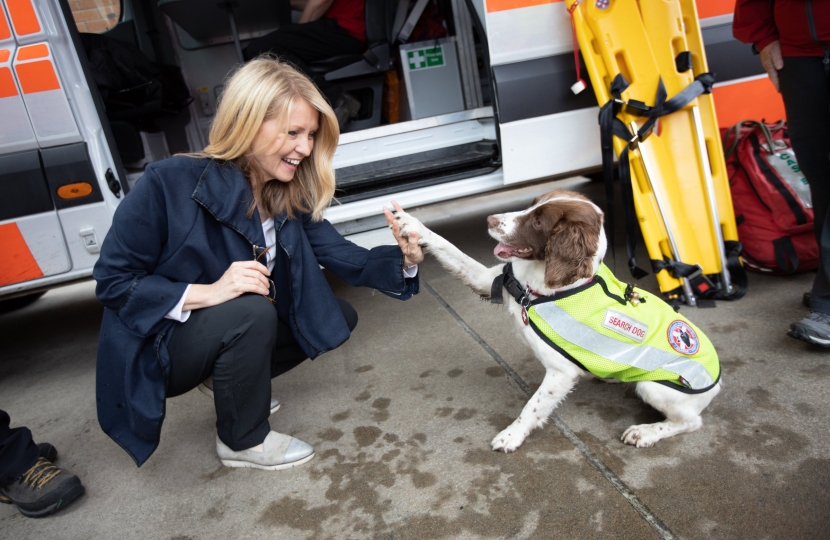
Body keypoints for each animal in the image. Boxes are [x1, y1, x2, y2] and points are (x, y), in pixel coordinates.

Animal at [394, 190, 720, 452]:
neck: (538, 288)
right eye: (532, 205)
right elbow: (450, 249)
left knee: (692, 422)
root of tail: (717, 383)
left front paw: (511, 435)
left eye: (539, 222)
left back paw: (646, 432)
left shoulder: (561, 373)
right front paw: (411, 224)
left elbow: (533, 406)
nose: (490, 219)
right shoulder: (489, 280)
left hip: (657, 387)